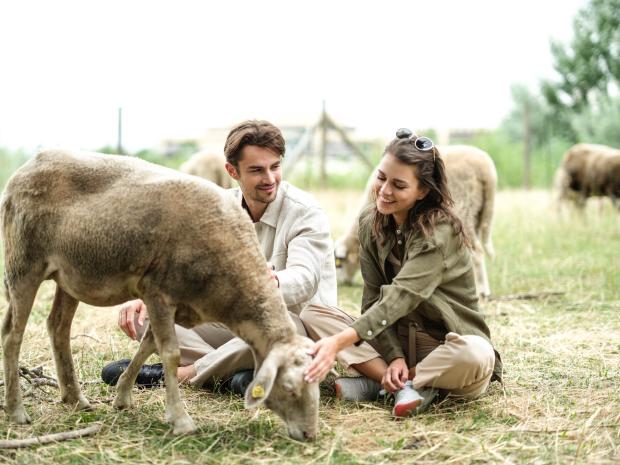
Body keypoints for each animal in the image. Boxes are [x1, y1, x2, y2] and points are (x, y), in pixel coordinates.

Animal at [1, 149, 320, 438]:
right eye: (289, 386)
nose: (309, 434)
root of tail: (27, 167)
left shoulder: (175, 304)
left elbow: (147, 346)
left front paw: (122, 398)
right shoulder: (158, 293)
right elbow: (170, 353)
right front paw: (180, 420)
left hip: (70, 275)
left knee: (57, 327)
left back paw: (75, 399)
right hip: (24, 263)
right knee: (12, 335)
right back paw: (17, 411)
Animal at [336, 144, 496, 298]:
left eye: (339, 264)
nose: (342, 283)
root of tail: (487, 171)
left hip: (464, 209)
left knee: (476, 251)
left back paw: (482, 291)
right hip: (477, 214)